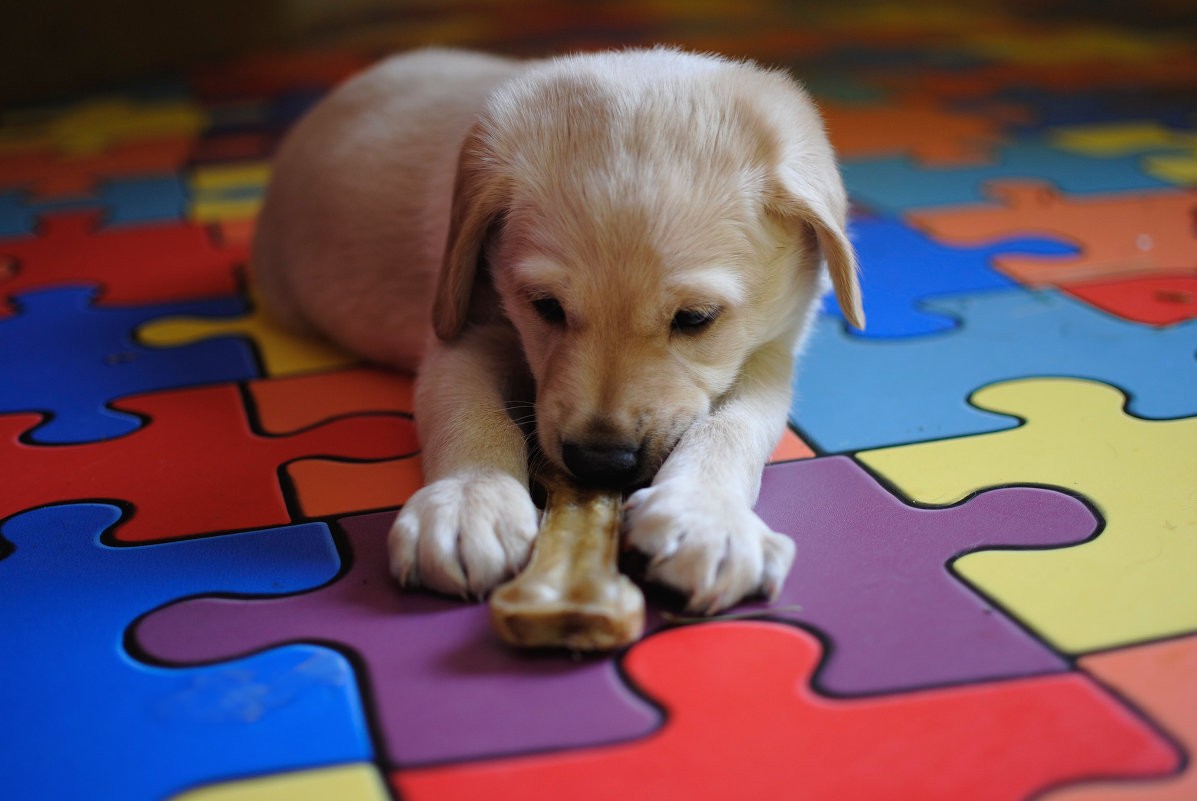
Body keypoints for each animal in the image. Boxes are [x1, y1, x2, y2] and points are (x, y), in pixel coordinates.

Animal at [252, 45, 861, 613]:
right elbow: (466, 410)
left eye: (695, 319)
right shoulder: (463, 329)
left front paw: (706, 518)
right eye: (545, 307)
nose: (600, 463)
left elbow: (734, 427)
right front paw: (469, 501)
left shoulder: (772, 349)